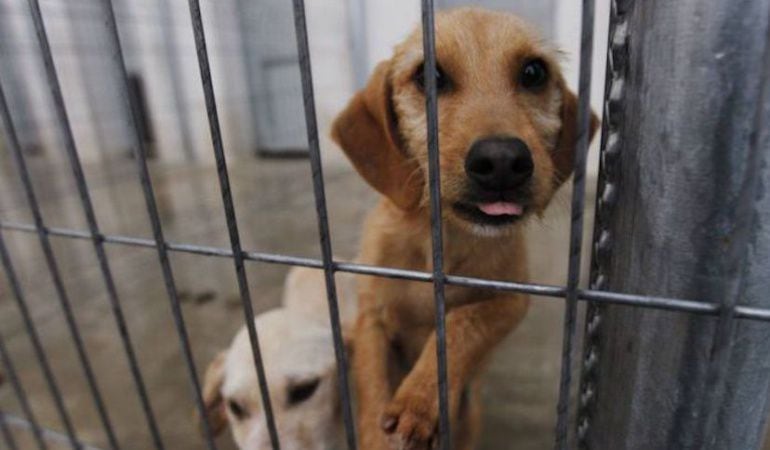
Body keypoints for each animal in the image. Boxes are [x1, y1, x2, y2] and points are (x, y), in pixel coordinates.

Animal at [330, 7, 592, 450]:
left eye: (534, 72)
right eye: (428, 75)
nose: (502, 160)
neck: (441, 242)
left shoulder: (511, 301)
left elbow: (460, 323)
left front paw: (419, 401)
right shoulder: (370, 317)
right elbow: (371, 378)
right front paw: (376, 433)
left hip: (471, 415)